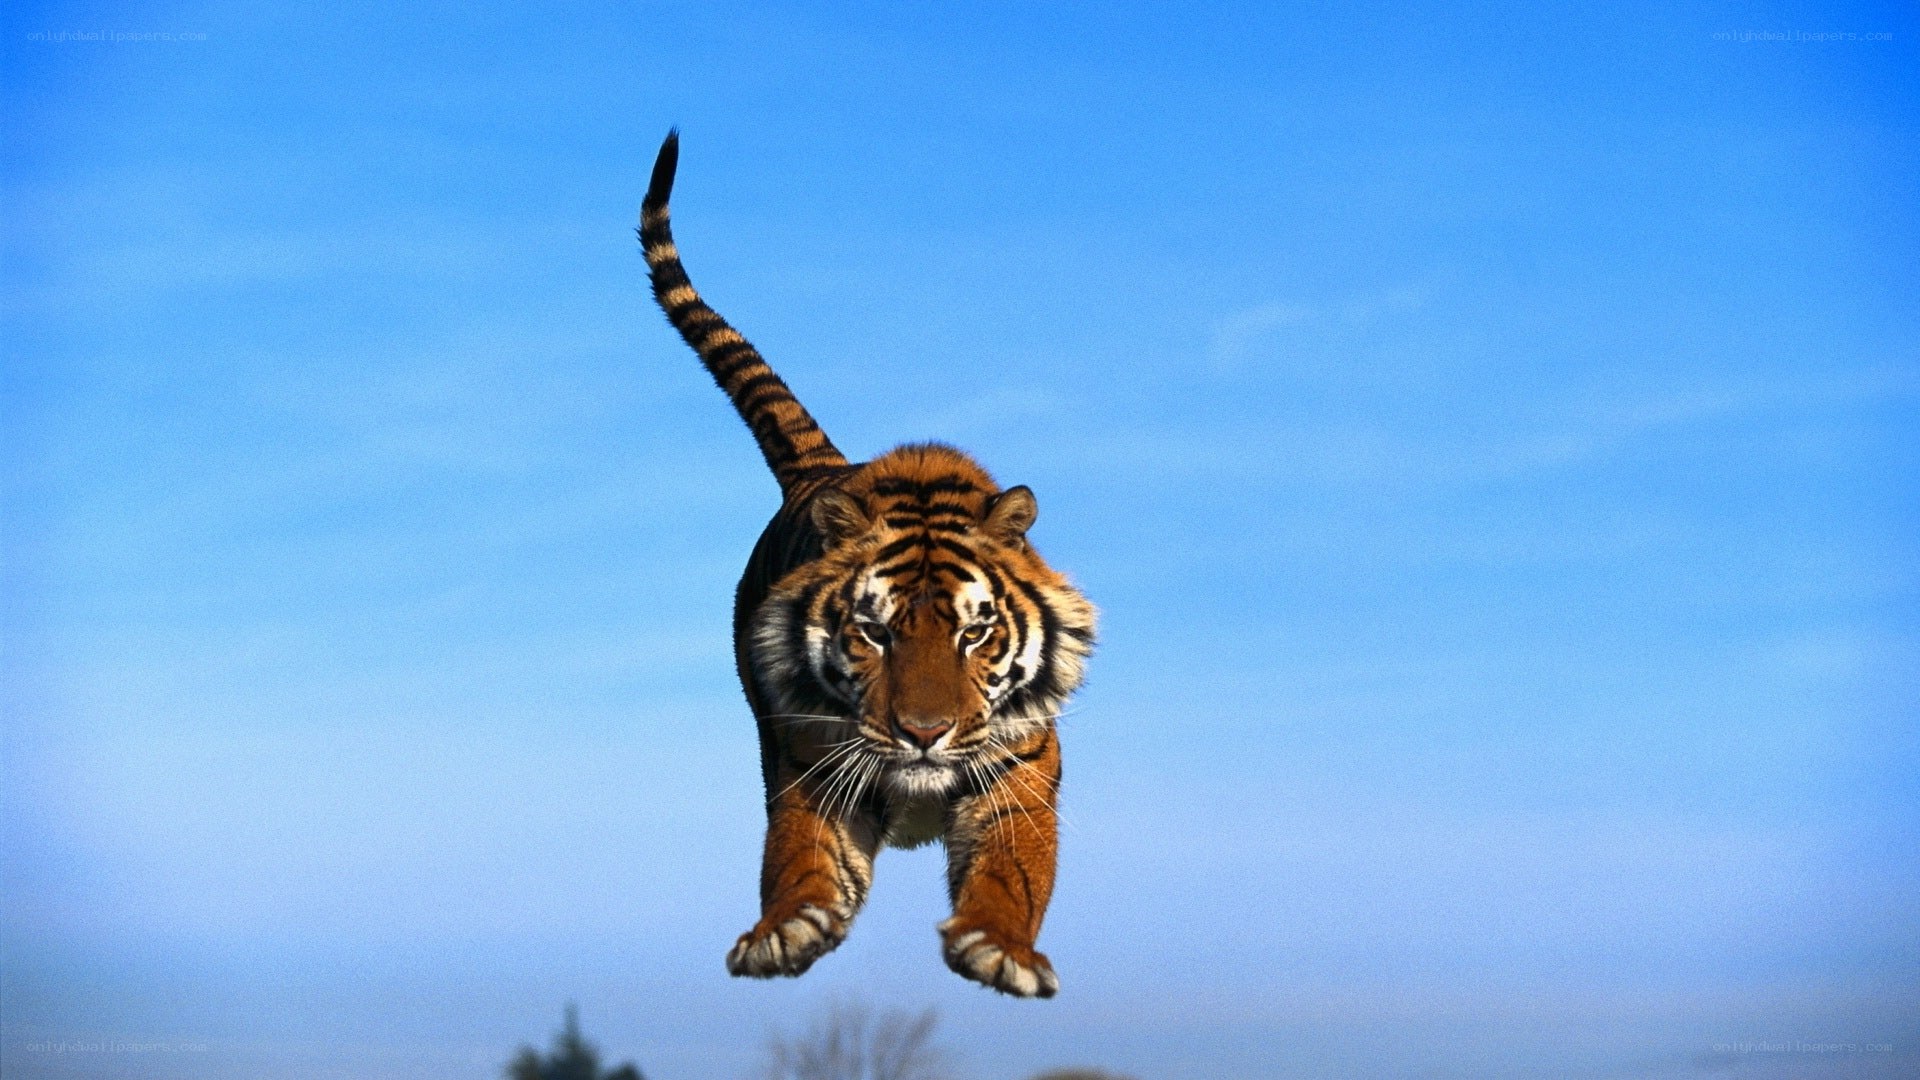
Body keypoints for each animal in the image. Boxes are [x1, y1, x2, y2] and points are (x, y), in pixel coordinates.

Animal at [638, 131, 1096, 998]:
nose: (923, 733)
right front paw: (784, 932)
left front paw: (999, 950)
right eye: (874, 633)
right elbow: (801, 858)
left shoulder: (1019, 769)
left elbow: (1014, 870)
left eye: (975, 634)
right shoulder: (811, 761)